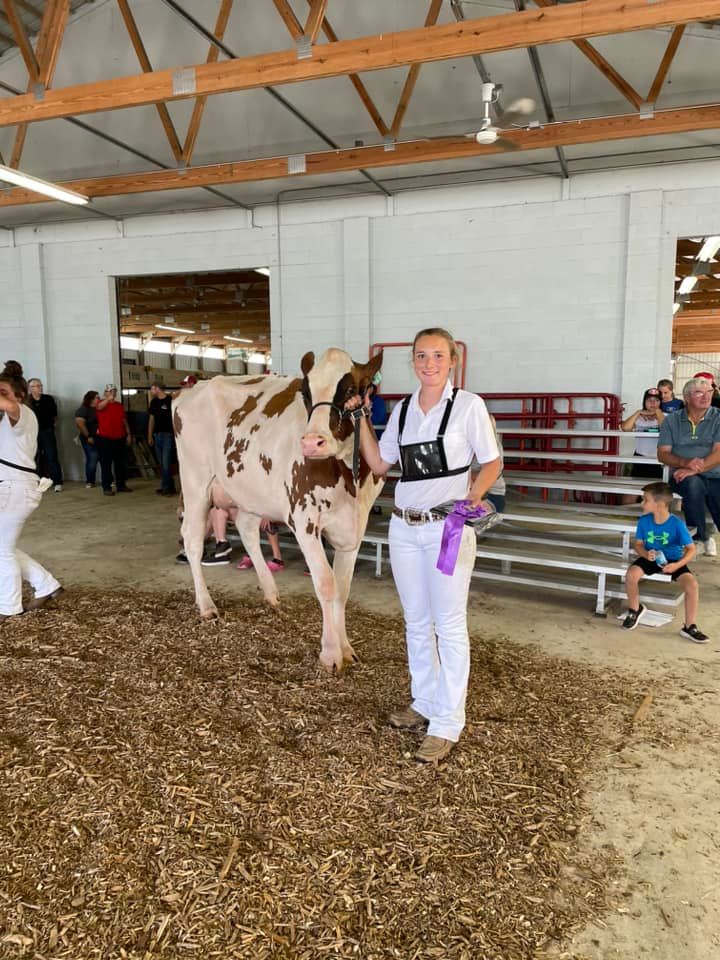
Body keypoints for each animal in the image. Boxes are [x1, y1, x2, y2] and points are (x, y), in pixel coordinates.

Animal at [173, 348, 384, 672]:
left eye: (350, 389)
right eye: (306, 392)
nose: (311, 442)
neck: (349, 478)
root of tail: (189, 390)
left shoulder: (355, 526)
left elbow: (343, 588)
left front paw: (347, 648)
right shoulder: (304, 520)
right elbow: (326, 584)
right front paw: (330, 654)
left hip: (249, 490)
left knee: (247, 530)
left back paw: (271, 594)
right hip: (196, 482)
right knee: (193, 540)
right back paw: (207, 606)